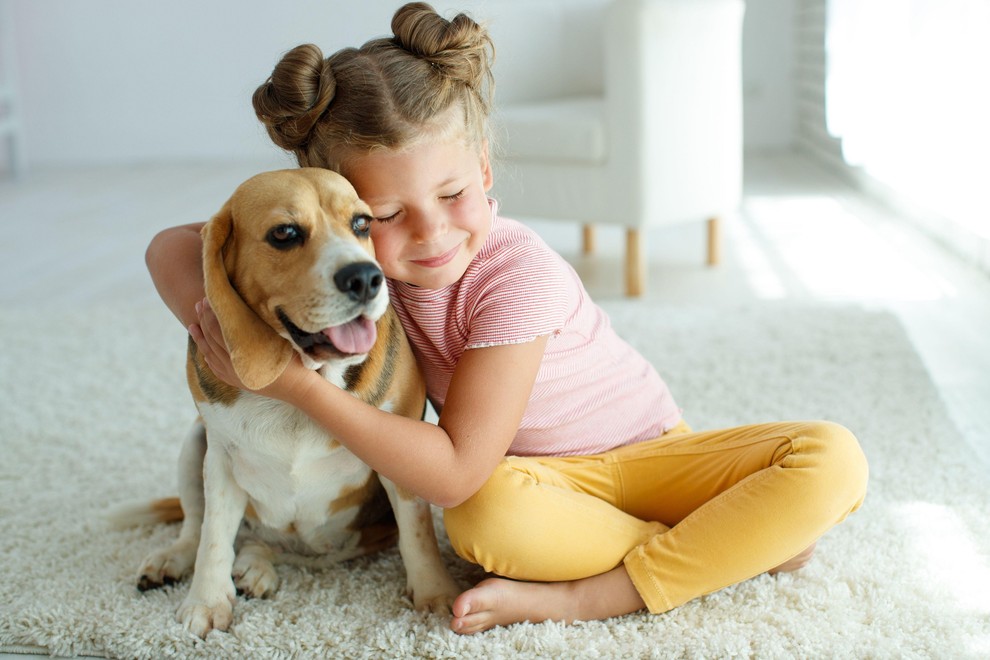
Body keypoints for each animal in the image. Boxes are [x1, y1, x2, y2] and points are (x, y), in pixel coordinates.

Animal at [121, 169, 462, 640]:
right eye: (284, 233)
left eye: (363, 224)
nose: (365, 278)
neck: (311, 376)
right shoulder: (221, 460)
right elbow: (213, 537)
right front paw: (206, 603)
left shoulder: (405, 458)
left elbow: (419, 537)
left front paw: (435, 595)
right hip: (195, 443)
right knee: (197, 525)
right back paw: (180, 559)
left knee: (282, 550)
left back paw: (255, 566)